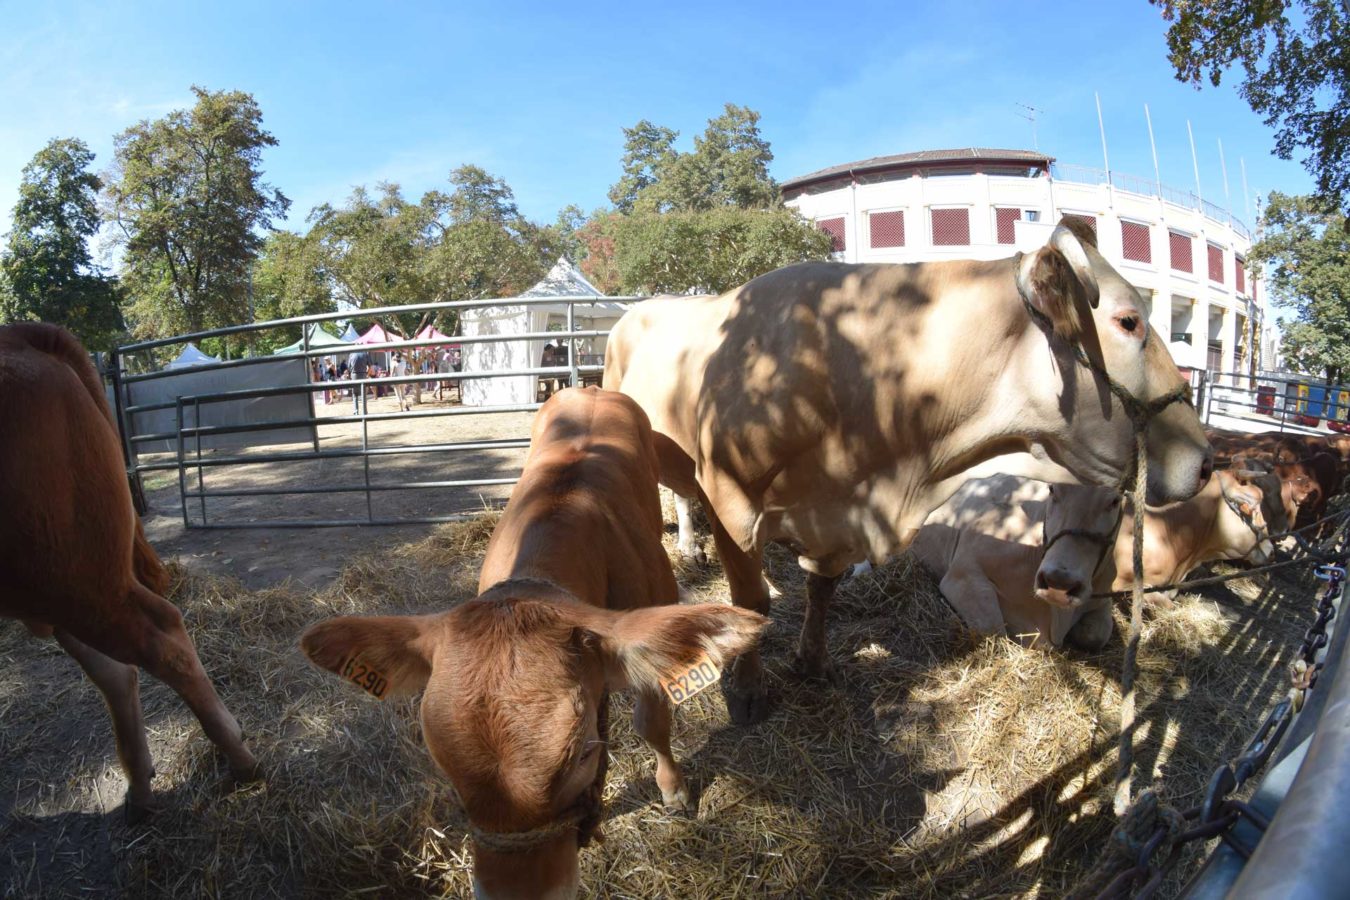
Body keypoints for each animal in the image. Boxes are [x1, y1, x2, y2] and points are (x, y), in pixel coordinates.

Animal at [0, 325, 257, 825]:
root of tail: (22, 337)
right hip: (62, 594)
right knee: (116, 672)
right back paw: (140, 790)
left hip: (76, 584)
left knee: (160, 643)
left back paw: (239, 758)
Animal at [607, 218, 1209, 723]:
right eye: (1128, 321)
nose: (1206, 460)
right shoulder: (733, 500)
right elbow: (750, 604)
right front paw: (750, 691)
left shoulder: (840, 519)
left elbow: (821, 591)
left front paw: (813, 662)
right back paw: (687, 548)